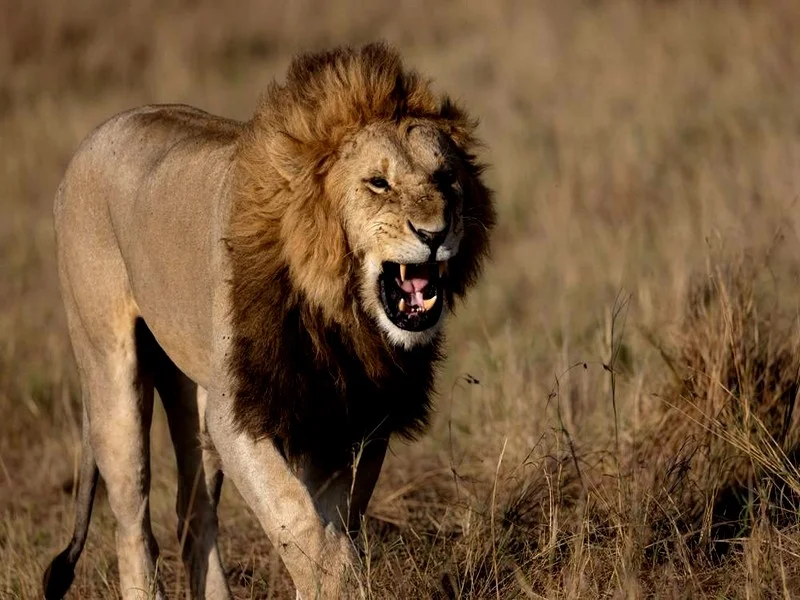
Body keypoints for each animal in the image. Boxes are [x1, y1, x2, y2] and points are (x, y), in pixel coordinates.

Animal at [43, 43, 494, 600]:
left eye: (446, 178)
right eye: (378, 183)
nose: (435, 233)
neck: (341, 313)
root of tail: (102, 129)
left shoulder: (348, 413)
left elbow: (336, 518)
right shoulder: (237, 411)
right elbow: (296, 519)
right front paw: (336, 578)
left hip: (192, 387)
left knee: (193, 514)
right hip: (111, 372)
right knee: (133, 523)